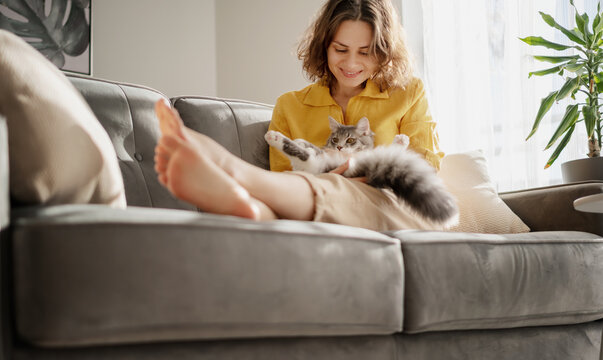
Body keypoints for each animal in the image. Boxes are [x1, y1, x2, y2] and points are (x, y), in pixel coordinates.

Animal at [264, 116, 458, 225]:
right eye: (335, 139)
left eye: (350, 140)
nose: (340, 147)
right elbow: (309, 145)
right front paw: (301, 140)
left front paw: (401, 140)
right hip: (315, 164)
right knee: (304, 155)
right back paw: (275, 137)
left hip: (316, 164)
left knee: (305, 156)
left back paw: (275, 137)